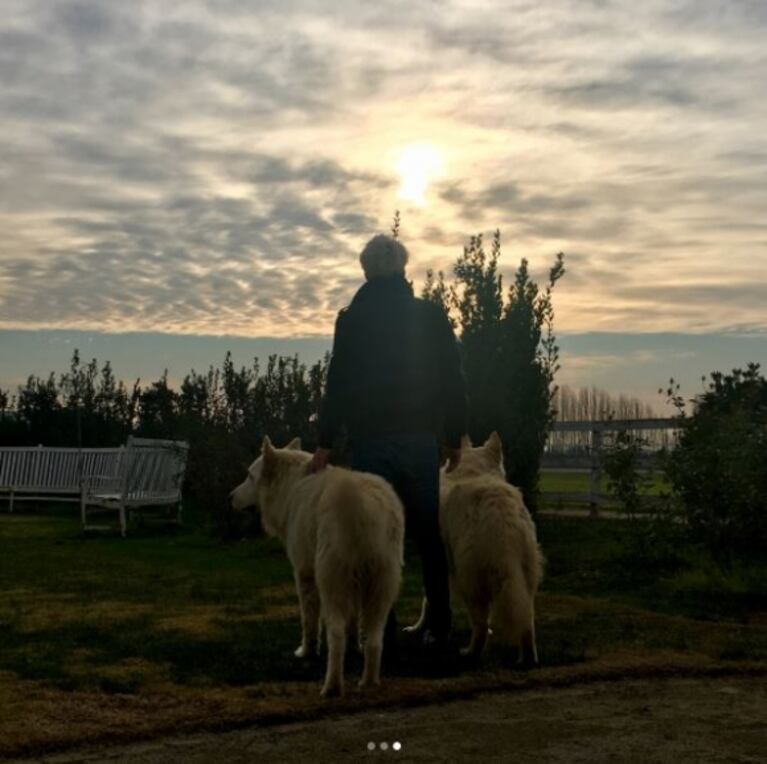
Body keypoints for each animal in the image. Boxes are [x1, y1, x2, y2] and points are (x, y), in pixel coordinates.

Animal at [230, 432, 404, 696]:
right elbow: (353, 626)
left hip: (331, 584)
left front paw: (307, 652)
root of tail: (364, 506)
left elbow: (309, 621)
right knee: (375, 640)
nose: (230, 497)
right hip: (381, 590)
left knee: (336, 636)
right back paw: (369, 682)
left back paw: (331, 687)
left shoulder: (304, 574)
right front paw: (355, 647)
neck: (292, 487)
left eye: (250, 476)